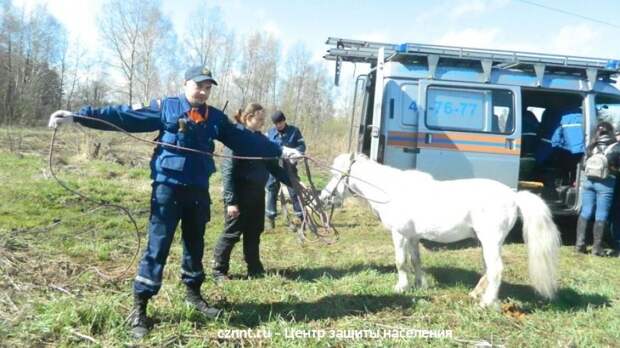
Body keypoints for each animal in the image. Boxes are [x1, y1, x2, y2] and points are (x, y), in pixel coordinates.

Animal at [320, 154, 560, 308]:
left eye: (336, 174)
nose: (323, 197)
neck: (392, 191)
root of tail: (514, 196)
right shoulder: (412, 237)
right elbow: (415, 260)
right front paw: (420, 285)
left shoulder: (399, 234)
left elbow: (400, 262)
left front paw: (401, 287)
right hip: (486, 242)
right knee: (488, 269)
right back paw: (475, 294)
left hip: (490, 241)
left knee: (496, 270)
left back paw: (486, 303)